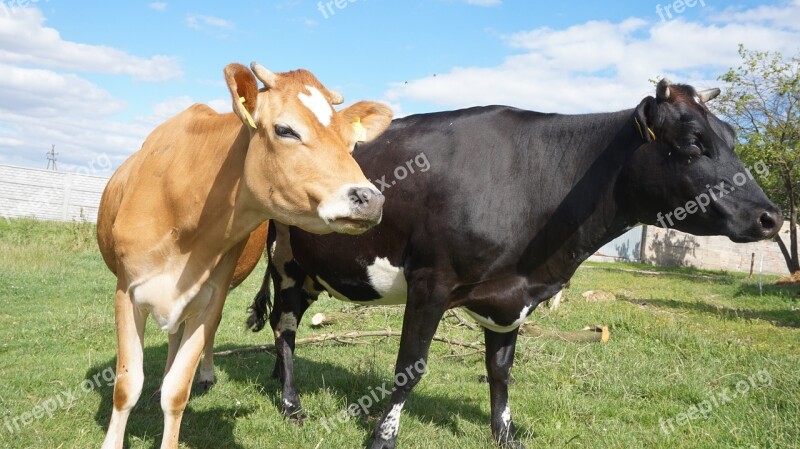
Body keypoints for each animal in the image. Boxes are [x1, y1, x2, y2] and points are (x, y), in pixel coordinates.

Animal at [98, 60, 392, 448]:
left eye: (352, 142)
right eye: (285, 130)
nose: (370, 199)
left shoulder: (209, 300)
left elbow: (177, 391)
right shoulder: (126, 294)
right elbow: (126, 387)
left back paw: (203, 373)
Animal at [245, 81, 780, 448]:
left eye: (733, 137)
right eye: (692, 141)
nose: (770, 216)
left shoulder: (509, 298)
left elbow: (501, 371)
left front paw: (504, 434)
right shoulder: (430, 281)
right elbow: (409, 368)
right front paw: (383, 436)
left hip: (311, 270)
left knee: (283, 325)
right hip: (286, 260)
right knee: (284, 325)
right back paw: (291, 403)